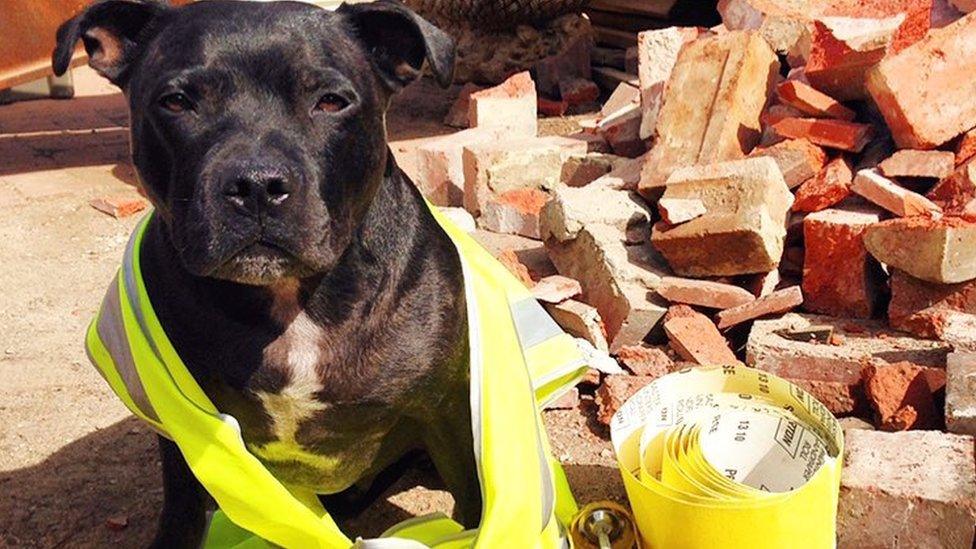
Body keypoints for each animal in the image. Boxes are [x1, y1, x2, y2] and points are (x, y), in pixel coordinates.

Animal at [53, 2, 480, 544]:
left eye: (331, 101)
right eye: (176, 101)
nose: (256, 185)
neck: (293, 301)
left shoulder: (447, 414)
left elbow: (477, 506)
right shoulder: (183, 421)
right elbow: (183, 508)